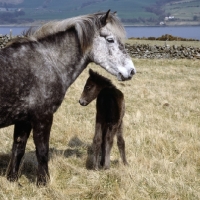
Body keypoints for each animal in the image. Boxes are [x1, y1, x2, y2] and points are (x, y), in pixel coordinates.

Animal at [0, 10, 135, 186]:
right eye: (110, 39)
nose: (131, 71)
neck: (48, 61)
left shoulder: (24, 120)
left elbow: (18, 148)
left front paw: (12, 180)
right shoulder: (42, 118)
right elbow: (42, 151)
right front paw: (43, 183)